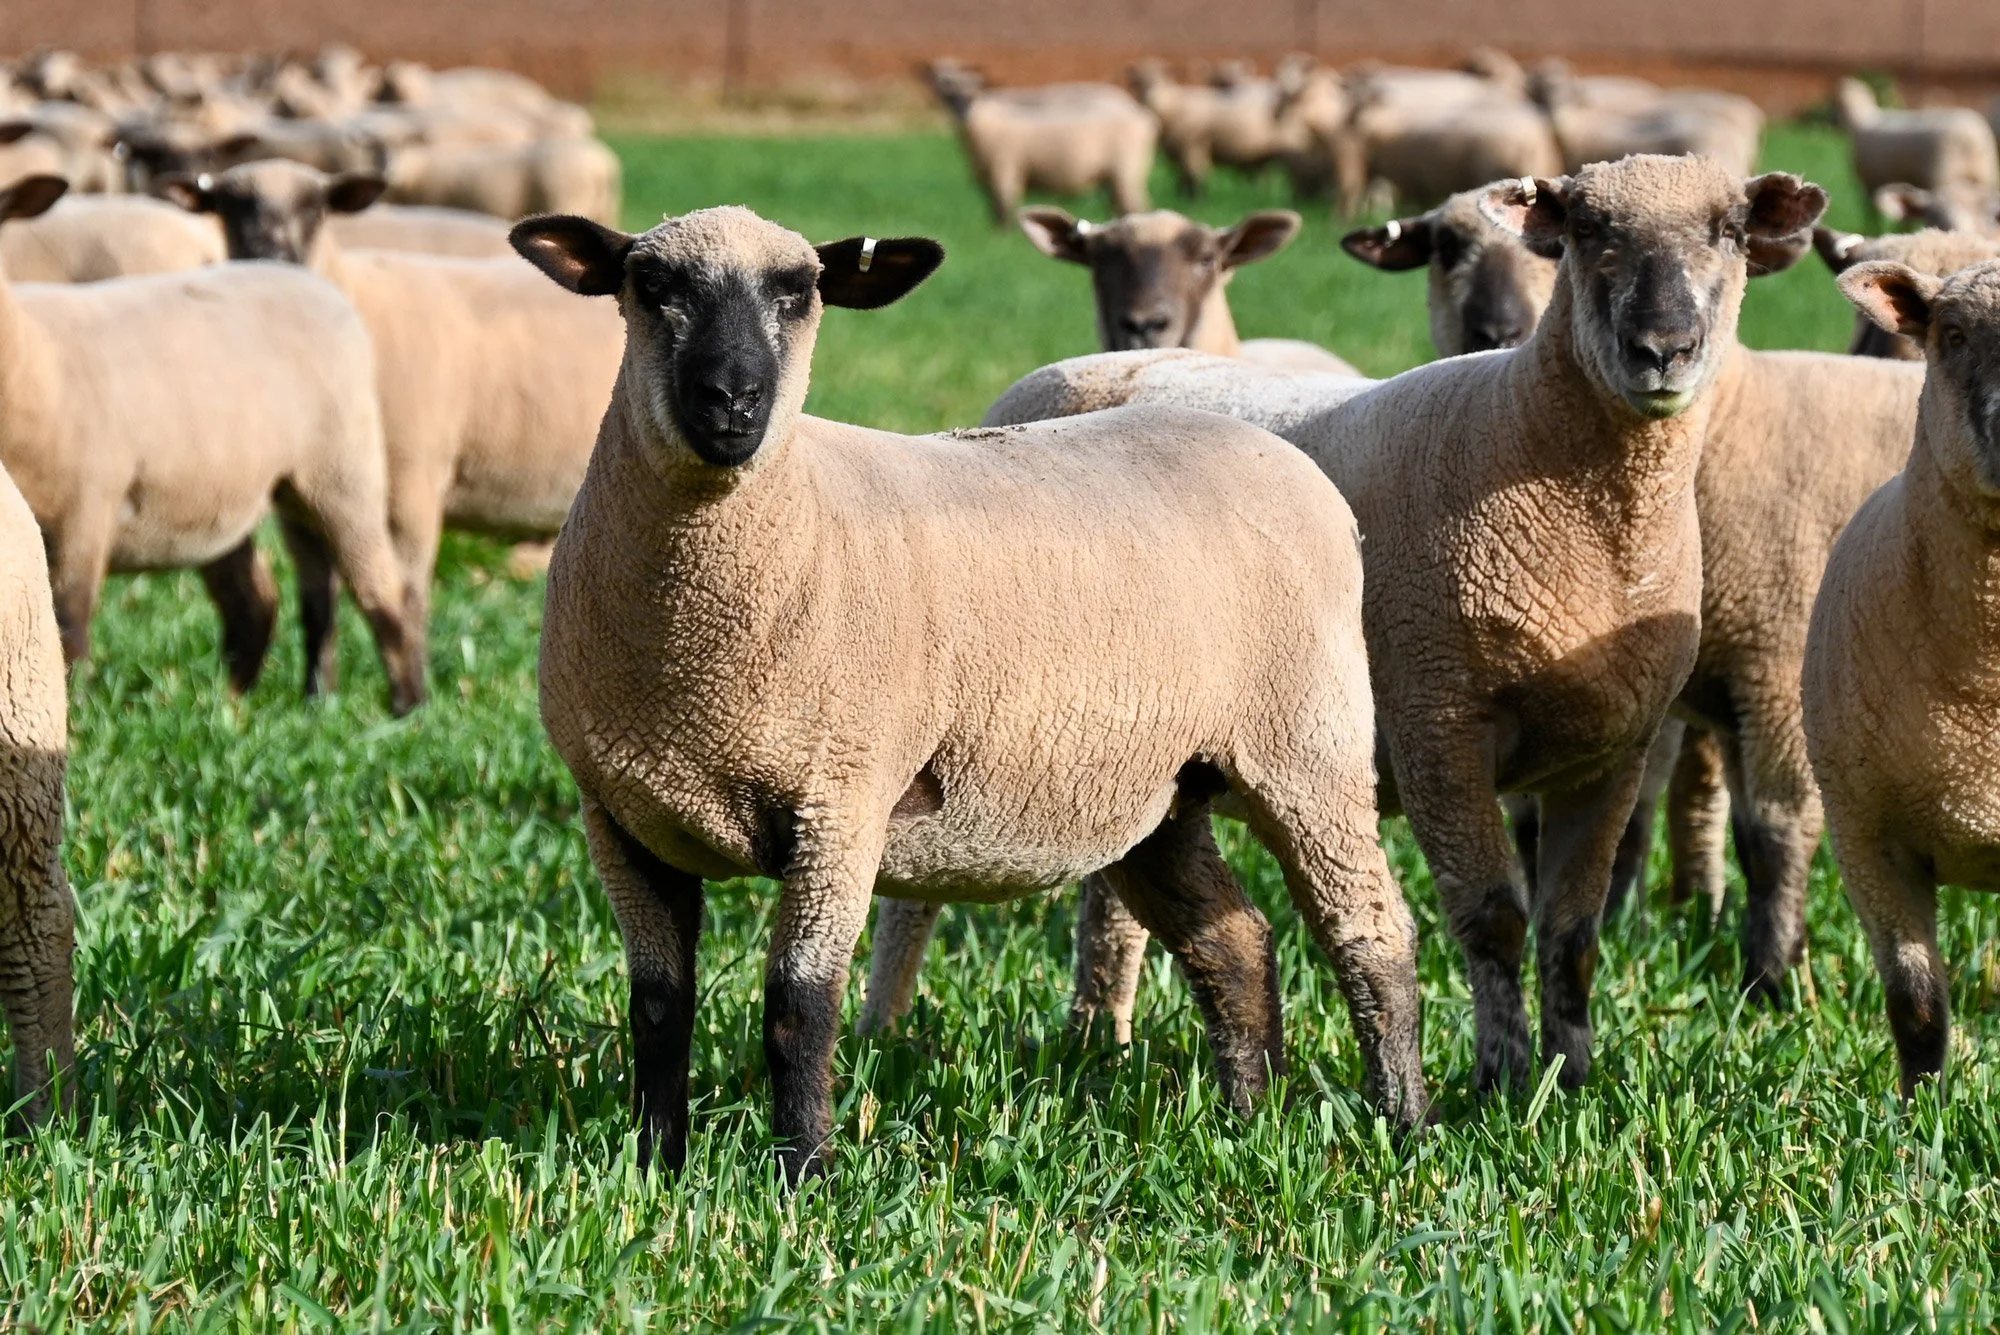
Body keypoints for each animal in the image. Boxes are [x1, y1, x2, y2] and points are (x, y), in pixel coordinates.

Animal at [160, 160, 623, 666]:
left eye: (316, 208)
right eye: (227, 207)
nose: (271, 257)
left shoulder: (411, 485)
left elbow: (409, 598)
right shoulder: (304, 499)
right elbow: (317, 605)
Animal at [928, 61, 1156, 224]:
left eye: (972, 95)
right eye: (948, 95)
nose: (962, 115)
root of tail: (1140, 113)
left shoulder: (1005, 170)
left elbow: (1003, 210)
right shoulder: (989, 177)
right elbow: (994, 209)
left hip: (1127, 171)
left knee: (1136, 207)